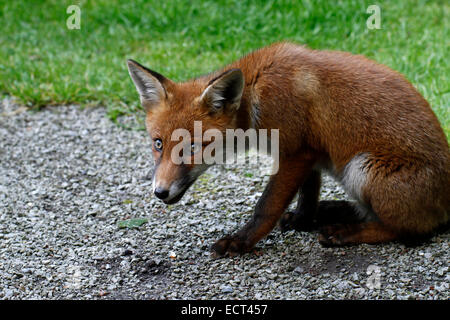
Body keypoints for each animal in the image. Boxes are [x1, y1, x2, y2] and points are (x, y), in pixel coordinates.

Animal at [126, 42, 450, 258]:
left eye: (193, 147)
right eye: (158, 144)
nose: (160, 192)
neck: (255, 95)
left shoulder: (295, 152)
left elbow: (266, 207)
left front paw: (241, 242)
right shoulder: (309, 153)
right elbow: (309, 192)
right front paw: (303, 220)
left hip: (363, 168)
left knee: (411, 230)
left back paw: (344, 231)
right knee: (370, 213)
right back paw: (333, 211)